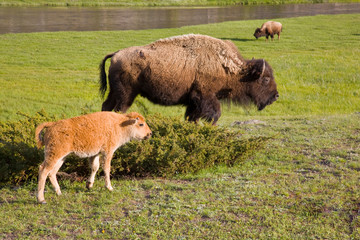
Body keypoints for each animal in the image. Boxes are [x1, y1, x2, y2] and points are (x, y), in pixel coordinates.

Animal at [98, 33, 278, 124]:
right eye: (265, 79)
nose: (275, 96)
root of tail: (116, 54)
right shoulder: (204, 96)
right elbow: (214, 113)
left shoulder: (193, 101)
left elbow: (192, 116)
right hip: (126, 94)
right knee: (119, 110)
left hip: (115, 92)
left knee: (107, 106)